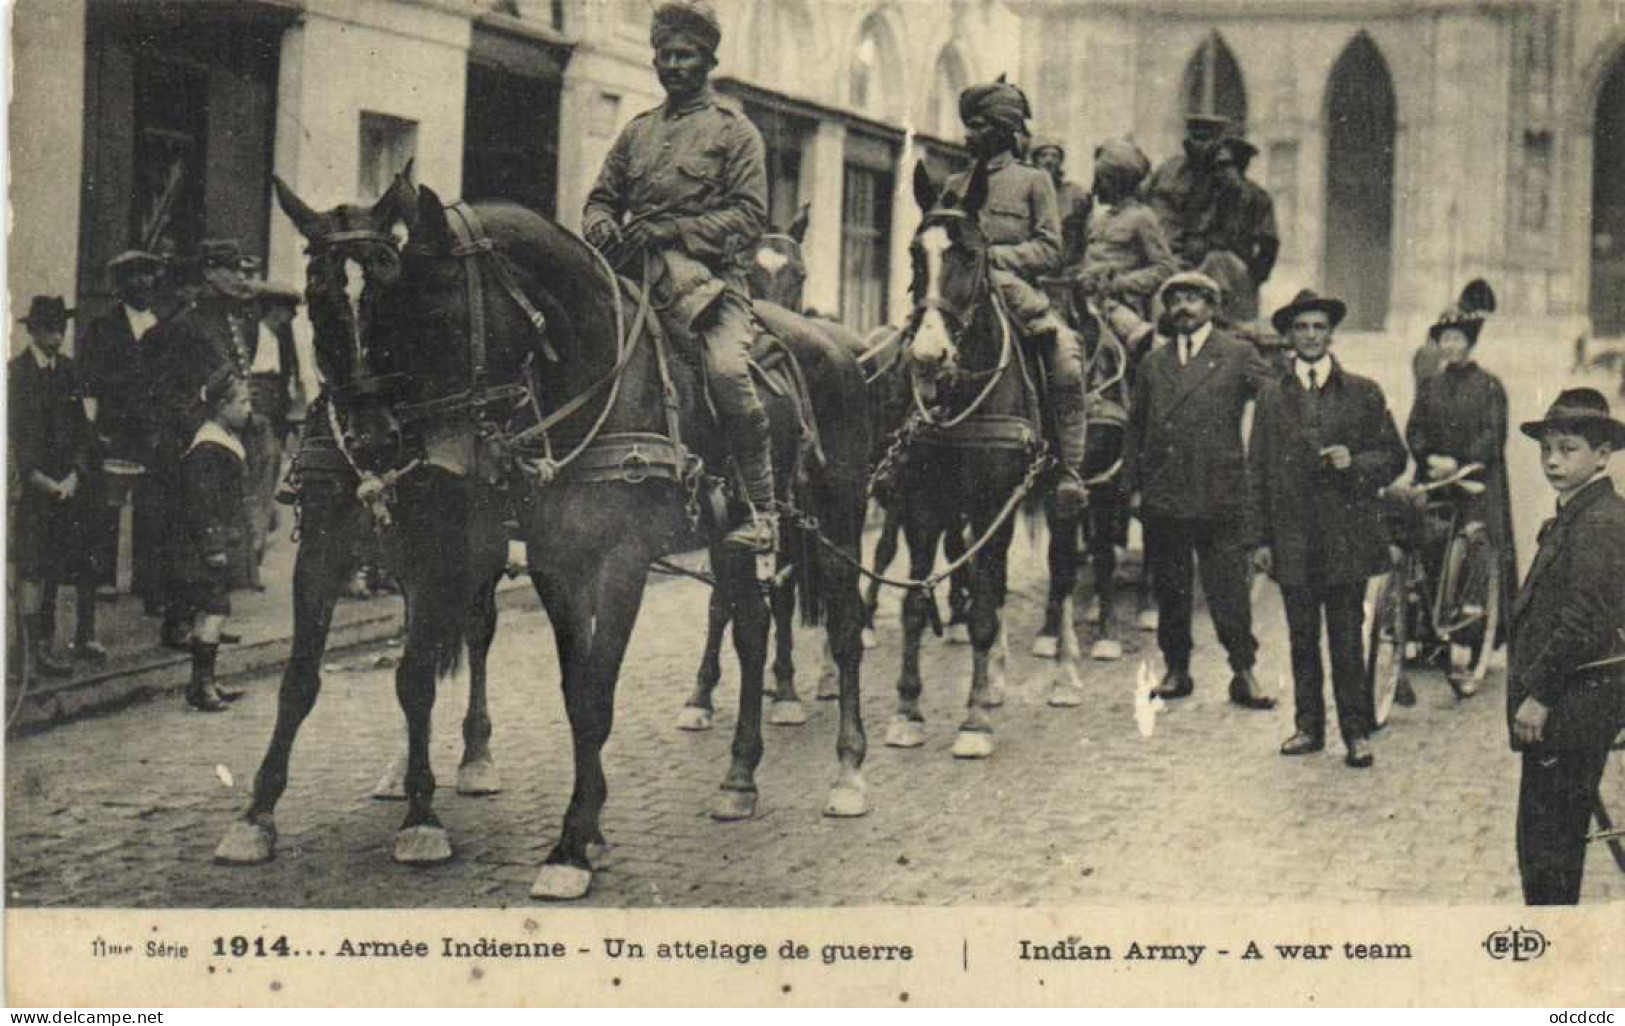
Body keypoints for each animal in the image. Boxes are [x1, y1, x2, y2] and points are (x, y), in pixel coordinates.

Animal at [221, 178, 877, 897]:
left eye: (426, 313)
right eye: (317, 299)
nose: (383, 440)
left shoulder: (612, 563)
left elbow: (575, 692)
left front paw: (567, 842)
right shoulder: (509, 560)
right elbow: (308, 681)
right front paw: (256, 817)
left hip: (834, 519)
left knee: (843, 628)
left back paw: (847, 772)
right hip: (720, 541)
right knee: (748, 631)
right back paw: (736, 778)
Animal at [884, 160, 1046, 754]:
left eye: (971, 255)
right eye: (915, 253)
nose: (928, 355)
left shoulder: (996, 505)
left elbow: (982, 611)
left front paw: (974, 719)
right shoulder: (925, 505)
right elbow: (914, 603)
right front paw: (908, 709)